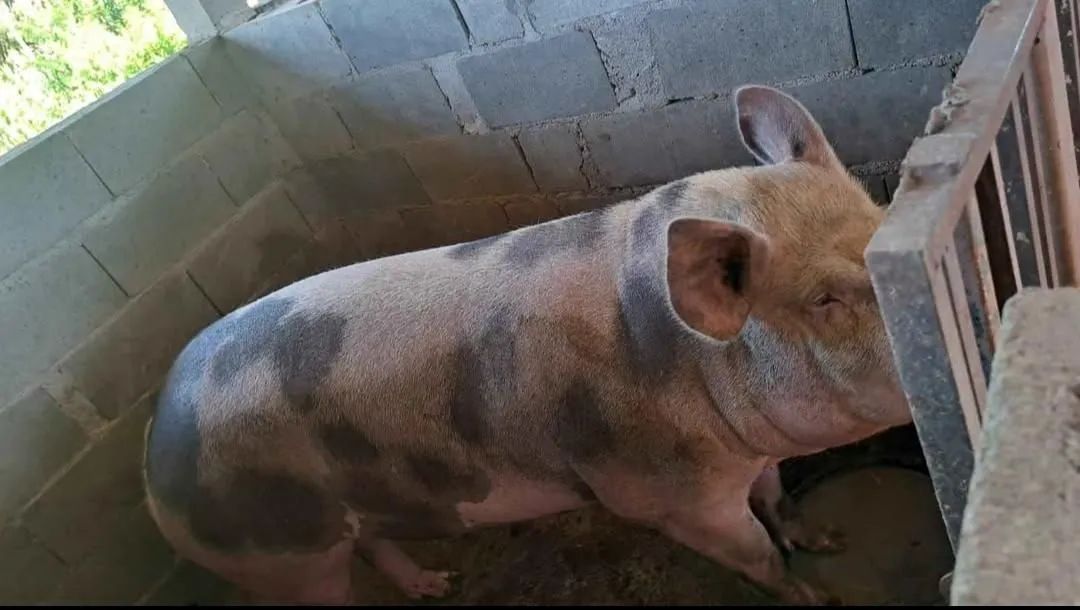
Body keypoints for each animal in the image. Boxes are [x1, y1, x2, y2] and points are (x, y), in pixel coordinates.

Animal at [143, 85, 911, 605]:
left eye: (881, 217)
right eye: (824, 300)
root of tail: (157, 437)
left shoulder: (749, 455)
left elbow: (779, 499)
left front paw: (829, 542)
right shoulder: (670, 500)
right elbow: (759, 558)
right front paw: (819, 595)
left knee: (377, 540)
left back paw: (438, 584)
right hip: (281, 557)